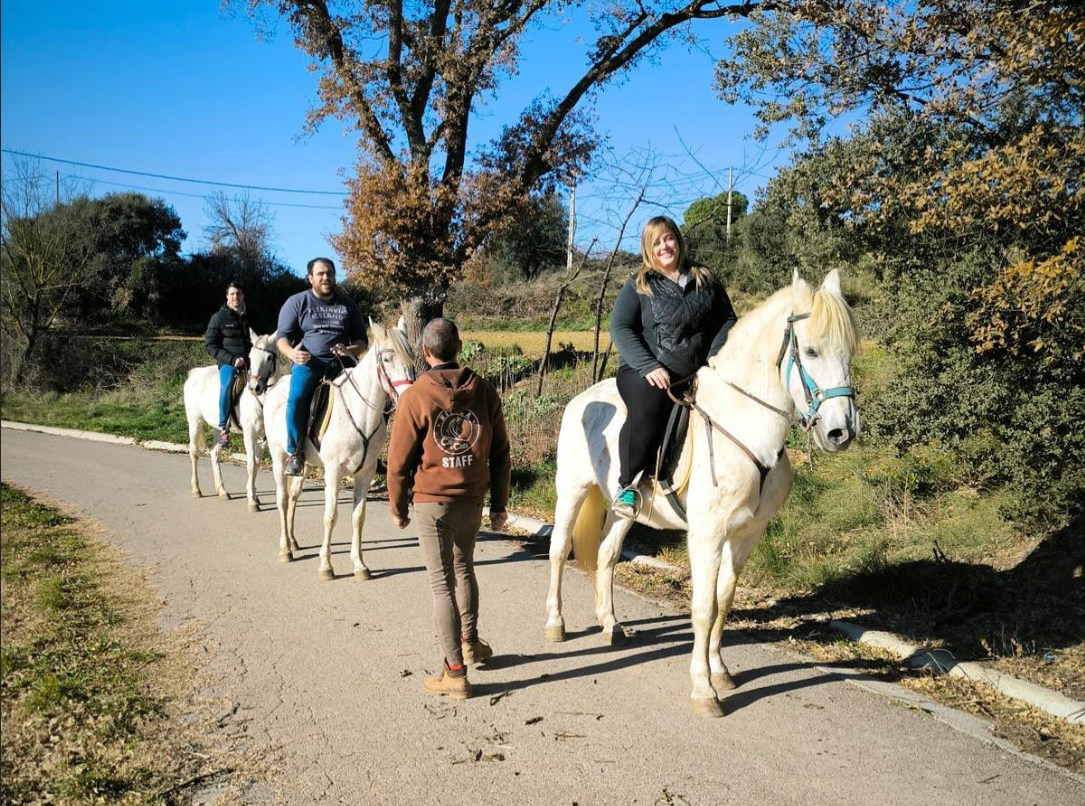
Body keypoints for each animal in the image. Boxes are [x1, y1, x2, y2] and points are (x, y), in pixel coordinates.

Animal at [185, 329, 279, 509]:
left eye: (269, 358)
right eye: (250, 356)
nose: (254, 388)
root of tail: (194, 374)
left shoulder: (263, 437)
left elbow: (257, 464)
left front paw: (254, 495)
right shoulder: (249, 433)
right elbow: (251, 465)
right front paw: (252, 502)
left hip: (218, 426)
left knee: (214, 453)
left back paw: (222, 491)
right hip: (195, 421)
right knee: (194, 452)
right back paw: (196, 490)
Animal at [262, 318, 414, 581]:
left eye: (411, 356)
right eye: (386, 359)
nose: (406, 397)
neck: (360, 414)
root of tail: (276, 387)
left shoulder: (365, 473)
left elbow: (358, 517)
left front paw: (360, 565)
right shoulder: (333, 471)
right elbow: (331, 516)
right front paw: (326, 566)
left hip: (305, 464)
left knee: (293, 496)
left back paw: (293, 541)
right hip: (278, 456)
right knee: (282, 499)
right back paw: (285, 549)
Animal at [546, 271, 859, 720]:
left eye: (849, 350)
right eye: (812, 351)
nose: (841, 432)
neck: (746, 427)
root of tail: (580, 400)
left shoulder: (747, 534)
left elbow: (724, 601)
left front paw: (721, 671)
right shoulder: (706, 535)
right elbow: (703, 607)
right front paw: (703, 689)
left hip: (624, 510)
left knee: (606, 554)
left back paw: (610, 624)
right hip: (571, 489)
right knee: (558, 549)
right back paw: (556, 624)